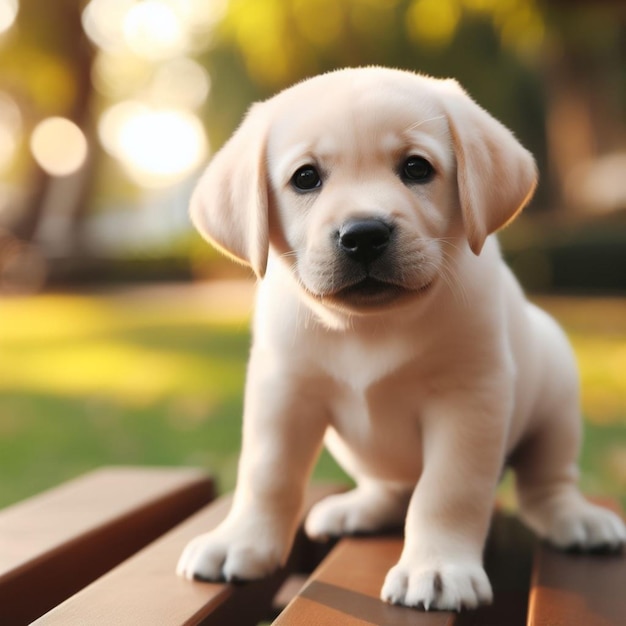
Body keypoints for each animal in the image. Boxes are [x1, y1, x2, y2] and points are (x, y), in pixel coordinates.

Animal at [177, 66, 624, 608]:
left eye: (416, 168)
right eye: (306, 177)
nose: (363, 234)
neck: (369, 326)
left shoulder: (469, 398)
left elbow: (448, 490)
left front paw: (437, 567)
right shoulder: (282, 392)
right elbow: (267, 475)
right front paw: (239, 542)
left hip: (556, 403)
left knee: (546, 483)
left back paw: (577, 518)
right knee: (392, 488)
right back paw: (358, 509)